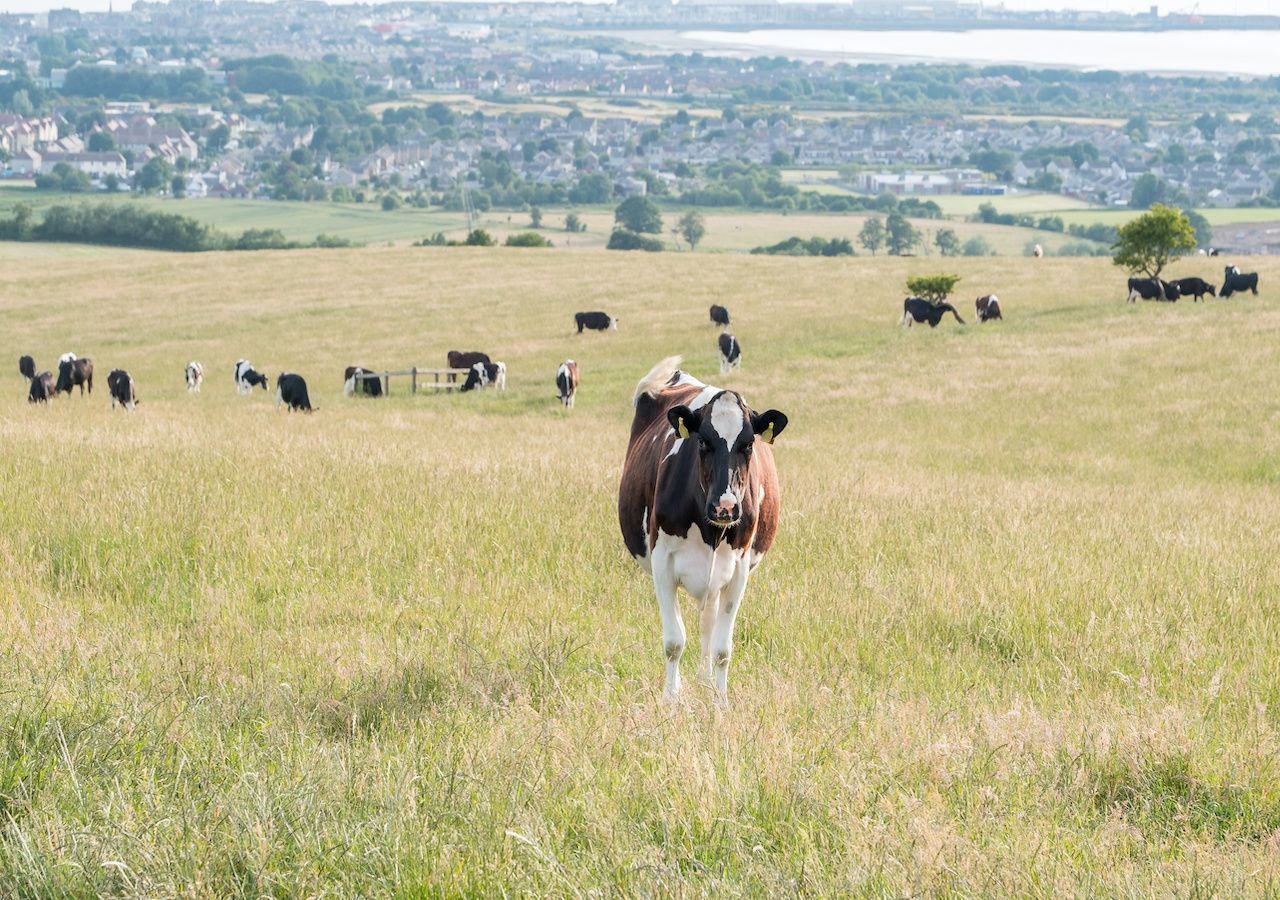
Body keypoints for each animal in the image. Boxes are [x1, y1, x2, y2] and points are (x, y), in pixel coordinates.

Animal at [619, 358, 788, 706]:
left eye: (749, 444)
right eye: (702, 441)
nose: (725, 506)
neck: (711, 531)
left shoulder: (739, 568)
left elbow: (723, 647)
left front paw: (720, 701)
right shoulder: (662, 562)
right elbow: (674, 641)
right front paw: (671, 699)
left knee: (708, 624)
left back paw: (706, 681)